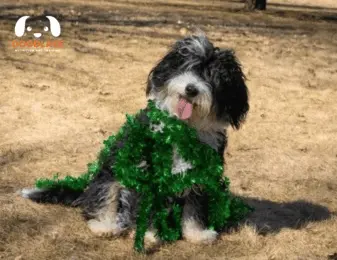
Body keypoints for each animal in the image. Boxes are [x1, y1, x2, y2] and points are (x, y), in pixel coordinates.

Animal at [21, 34, 247, 244]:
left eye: (213, 77)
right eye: (187, 66)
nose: (191, 89)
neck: (183, 127)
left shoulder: (200, 174)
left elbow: (194, 208)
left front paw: (197, 234)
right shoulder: (147, 172)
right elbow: (147, 208)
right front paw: (148, 235)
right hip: (109, 173)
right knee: (102, 201)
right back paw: (105, 225)